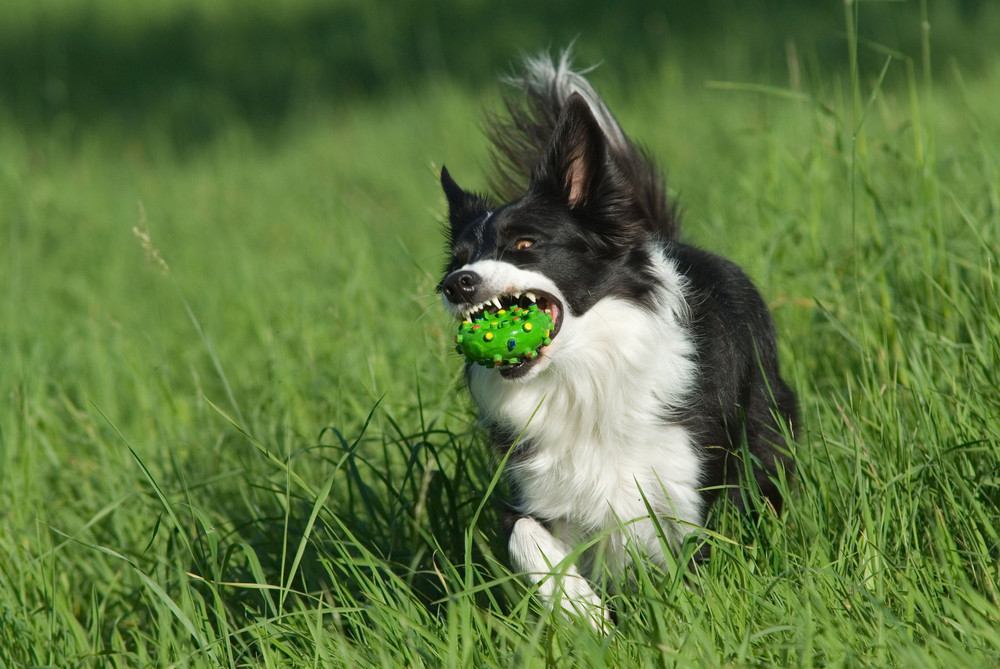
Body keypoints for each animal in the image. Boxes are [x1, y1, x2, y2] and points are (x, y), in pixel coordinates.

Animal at [438, 53, 796, 628]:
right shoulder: (534, 487)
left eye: (525, 244)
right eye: (457, 260)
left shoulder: (687, 486)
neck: (581, 377)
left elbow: (693, 567)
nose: (455, 285)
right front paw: (585, 613)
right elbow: (524, 537)